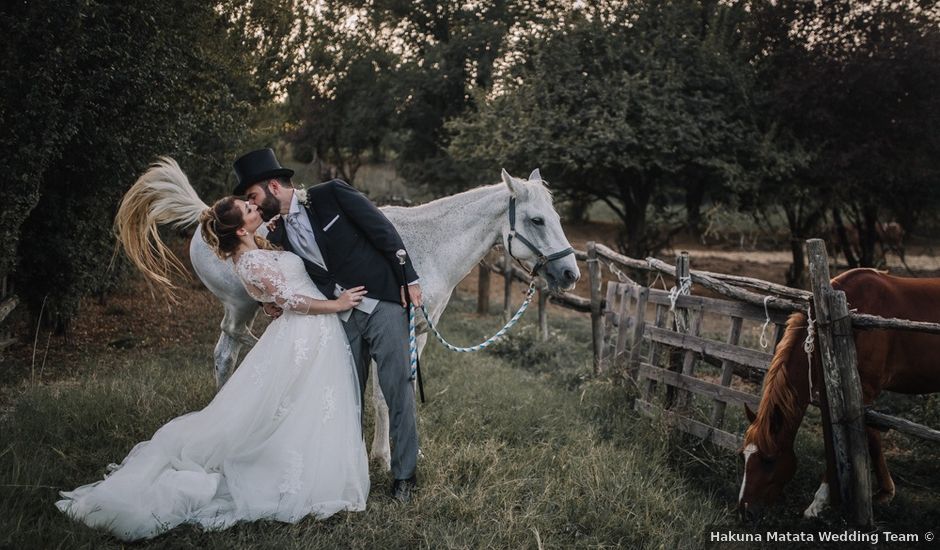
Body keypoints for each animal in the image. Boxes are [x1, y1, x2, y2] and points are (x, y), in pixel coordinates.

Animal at [113, 158, 576, 470]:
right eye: (537, 220)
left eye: (556, 217)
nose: (570, 273)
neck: (423, 248)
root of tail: (208, 215)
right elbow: (383, 395)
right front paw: (383, 457)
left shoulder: (421, 335)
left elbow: (399, 390)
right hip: (241, 306)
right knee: (228, 351)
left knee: (226, 354)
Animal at [740, 270, 940, 524]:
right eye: (743, 456)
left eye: (769, 460)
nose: (744, 511)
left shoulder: (864, 391)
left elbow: (864, 438)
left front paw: (819, 502)